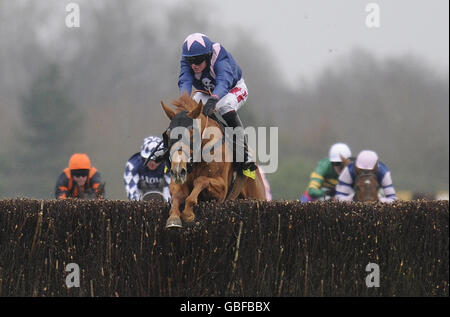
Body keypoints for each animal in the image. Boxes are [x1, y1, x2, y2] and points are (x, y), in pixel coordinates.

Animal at [162, 92, 268, 227]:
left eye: (192, 131)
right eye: (168, 133)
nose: (177, 169)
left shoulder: (222, 190)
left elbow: (200, 181)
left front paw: (188, 213)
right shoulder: (179, 179)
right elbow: (177, 195)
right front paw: (174, 217)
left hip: (257, 196)